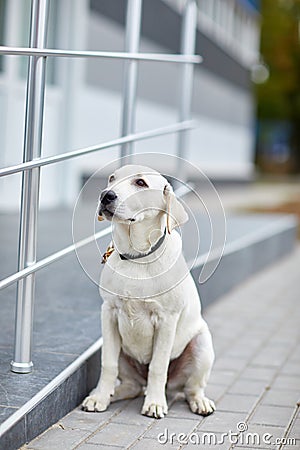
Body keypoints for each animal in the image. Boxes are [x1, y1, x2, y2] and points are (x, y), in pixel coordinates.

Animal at [82, 164, 216, 418]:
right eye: (111, 179)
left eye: (140, 183)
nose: (106, 195)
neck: (136, 257)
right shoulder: (109, 313)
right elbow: (108, 364)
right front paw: (100, 397)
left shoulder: (166, 320)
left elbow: (157, 366)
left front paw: (154, 403)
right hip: (120, 349)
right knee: (132, 385)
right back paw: (112, 393)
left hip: (202, 345)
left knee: (192, 387)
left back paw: (199, 402)